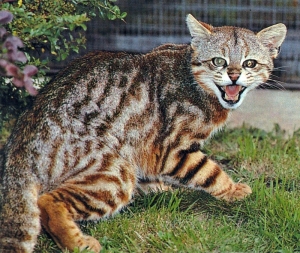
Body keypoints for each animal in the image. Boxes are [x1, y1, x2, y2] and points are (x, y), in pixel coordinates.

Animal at [0, 14, 286, 253]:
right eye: (219, 61)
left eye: (250, 63)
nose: (234, 76)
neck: (194, 81)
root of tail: (22, 140)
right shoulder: (173, 149)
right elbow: (209, 171)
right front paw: (233, 190)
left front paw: (157, 186)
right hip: (115, 172)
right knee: (49, 201)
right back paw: (78, 243)